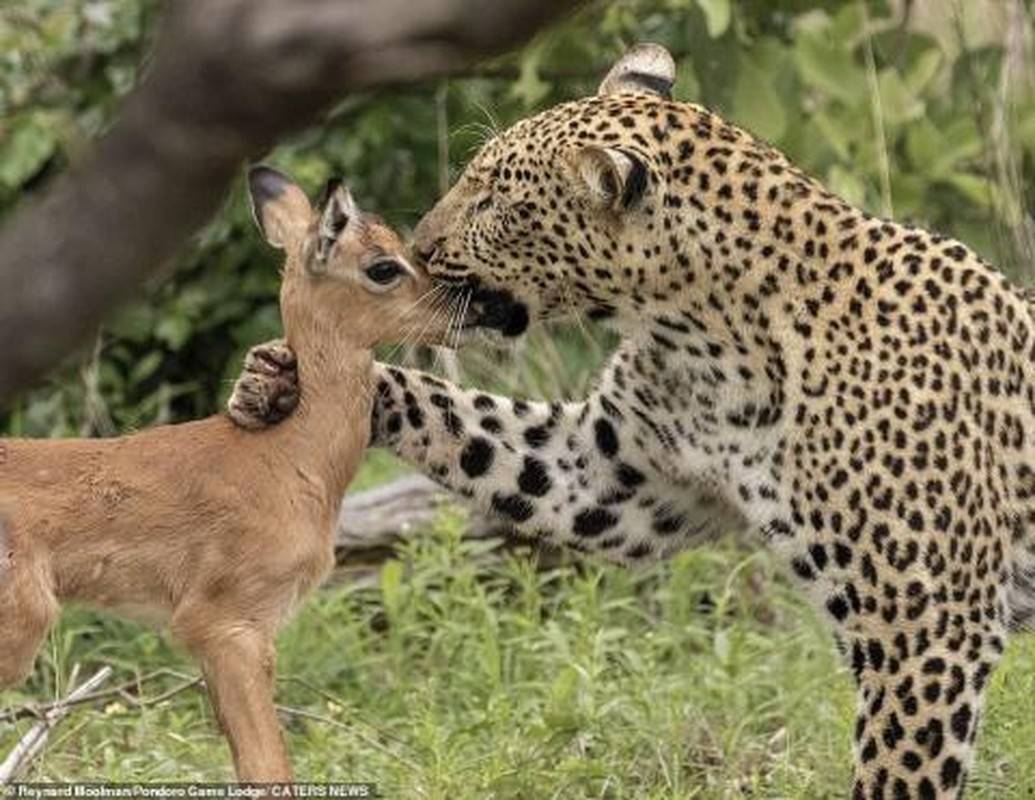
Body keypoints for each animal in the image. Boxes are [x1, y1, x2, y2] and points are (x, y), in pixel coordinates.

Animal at [230, 45, 1035, 798]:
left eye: (492, 200)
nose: (421, 250)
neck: (705, 339)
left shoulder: (924, 631)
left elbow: (897, 773)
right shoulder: (613, 473)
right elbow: (475, 428)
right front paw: (278, 381)